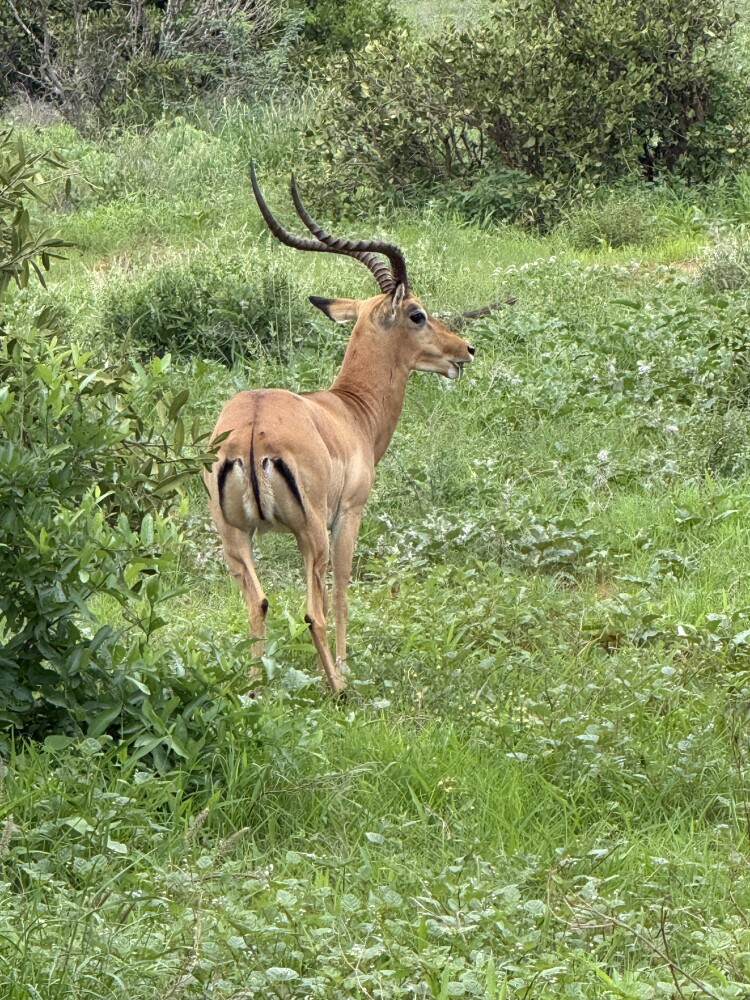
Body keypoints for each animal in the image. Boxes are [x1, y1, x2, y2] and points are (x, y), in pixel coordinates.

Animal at [204, 166, 475, 695]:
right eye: (417, 313)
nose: (465, 350)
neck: (349, 411)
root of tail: (251, 431)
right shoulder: (348, 514)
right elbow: (343, 592)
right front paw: (347, 664)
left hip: (234, 534)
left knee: (257, 602)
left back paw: (255, 685)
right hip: (310, 533)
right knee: (313, 609)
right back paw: (337, 686)